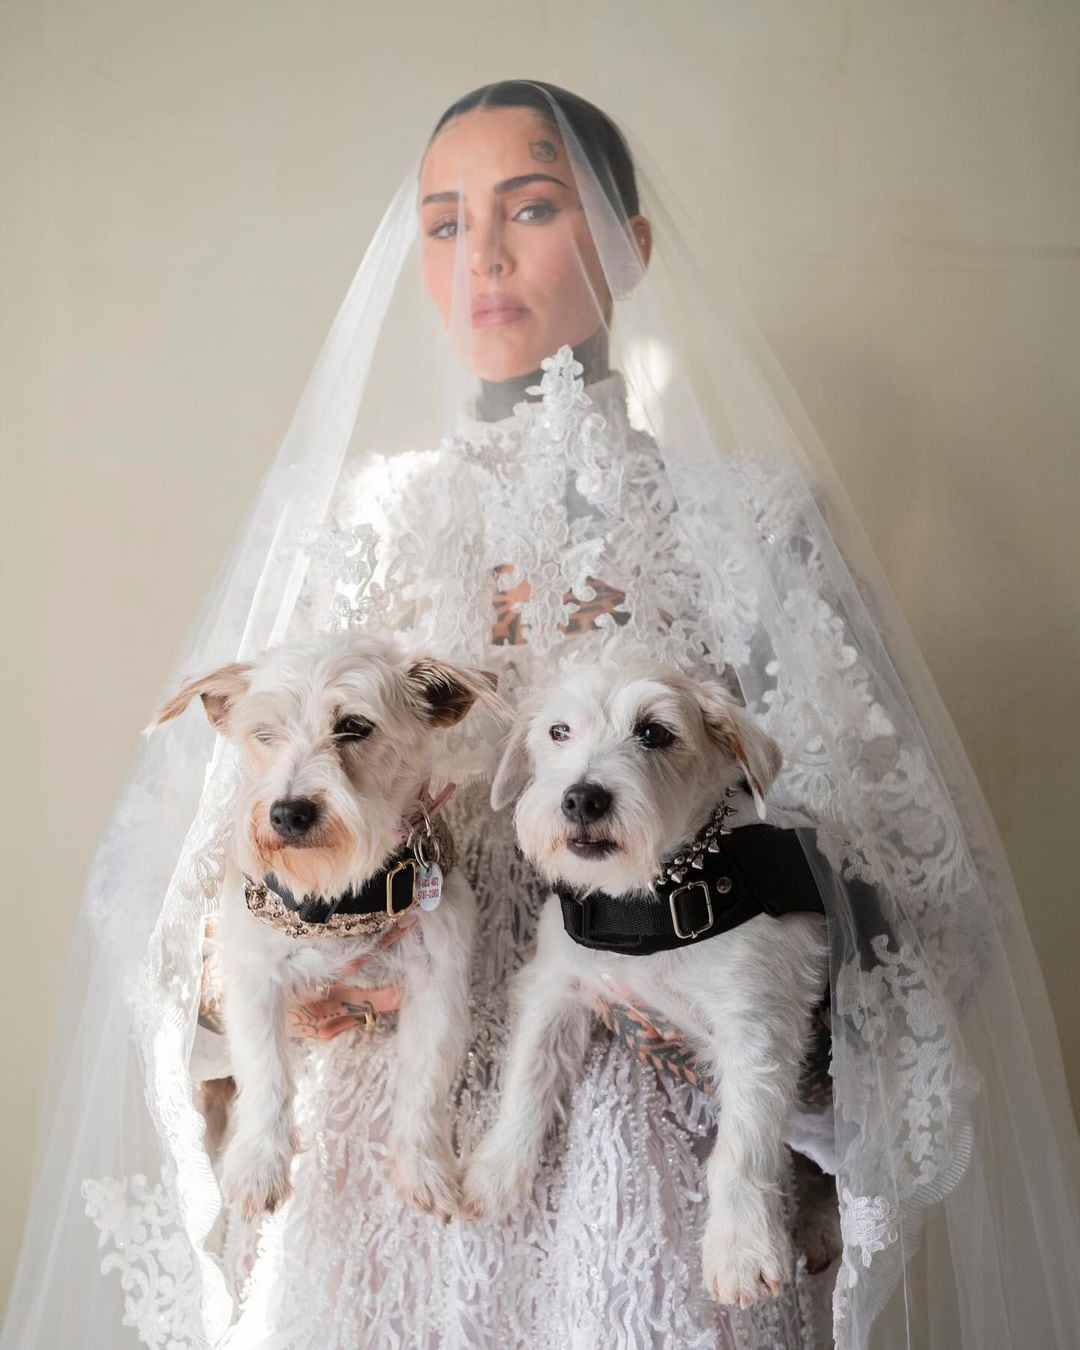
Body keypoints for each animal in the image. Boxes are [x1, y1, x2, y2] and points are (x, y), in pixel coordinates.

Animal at [153, 631, 499, 1225]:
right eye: (263, 734)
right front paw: (258, 1165)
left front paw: (424, 1168)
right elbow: (265, 1072)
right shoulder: (254, 983)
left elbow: (425, 1081)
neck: (341, 898)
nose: (288, 813)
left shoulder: (438, 985)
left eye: (355, 726)